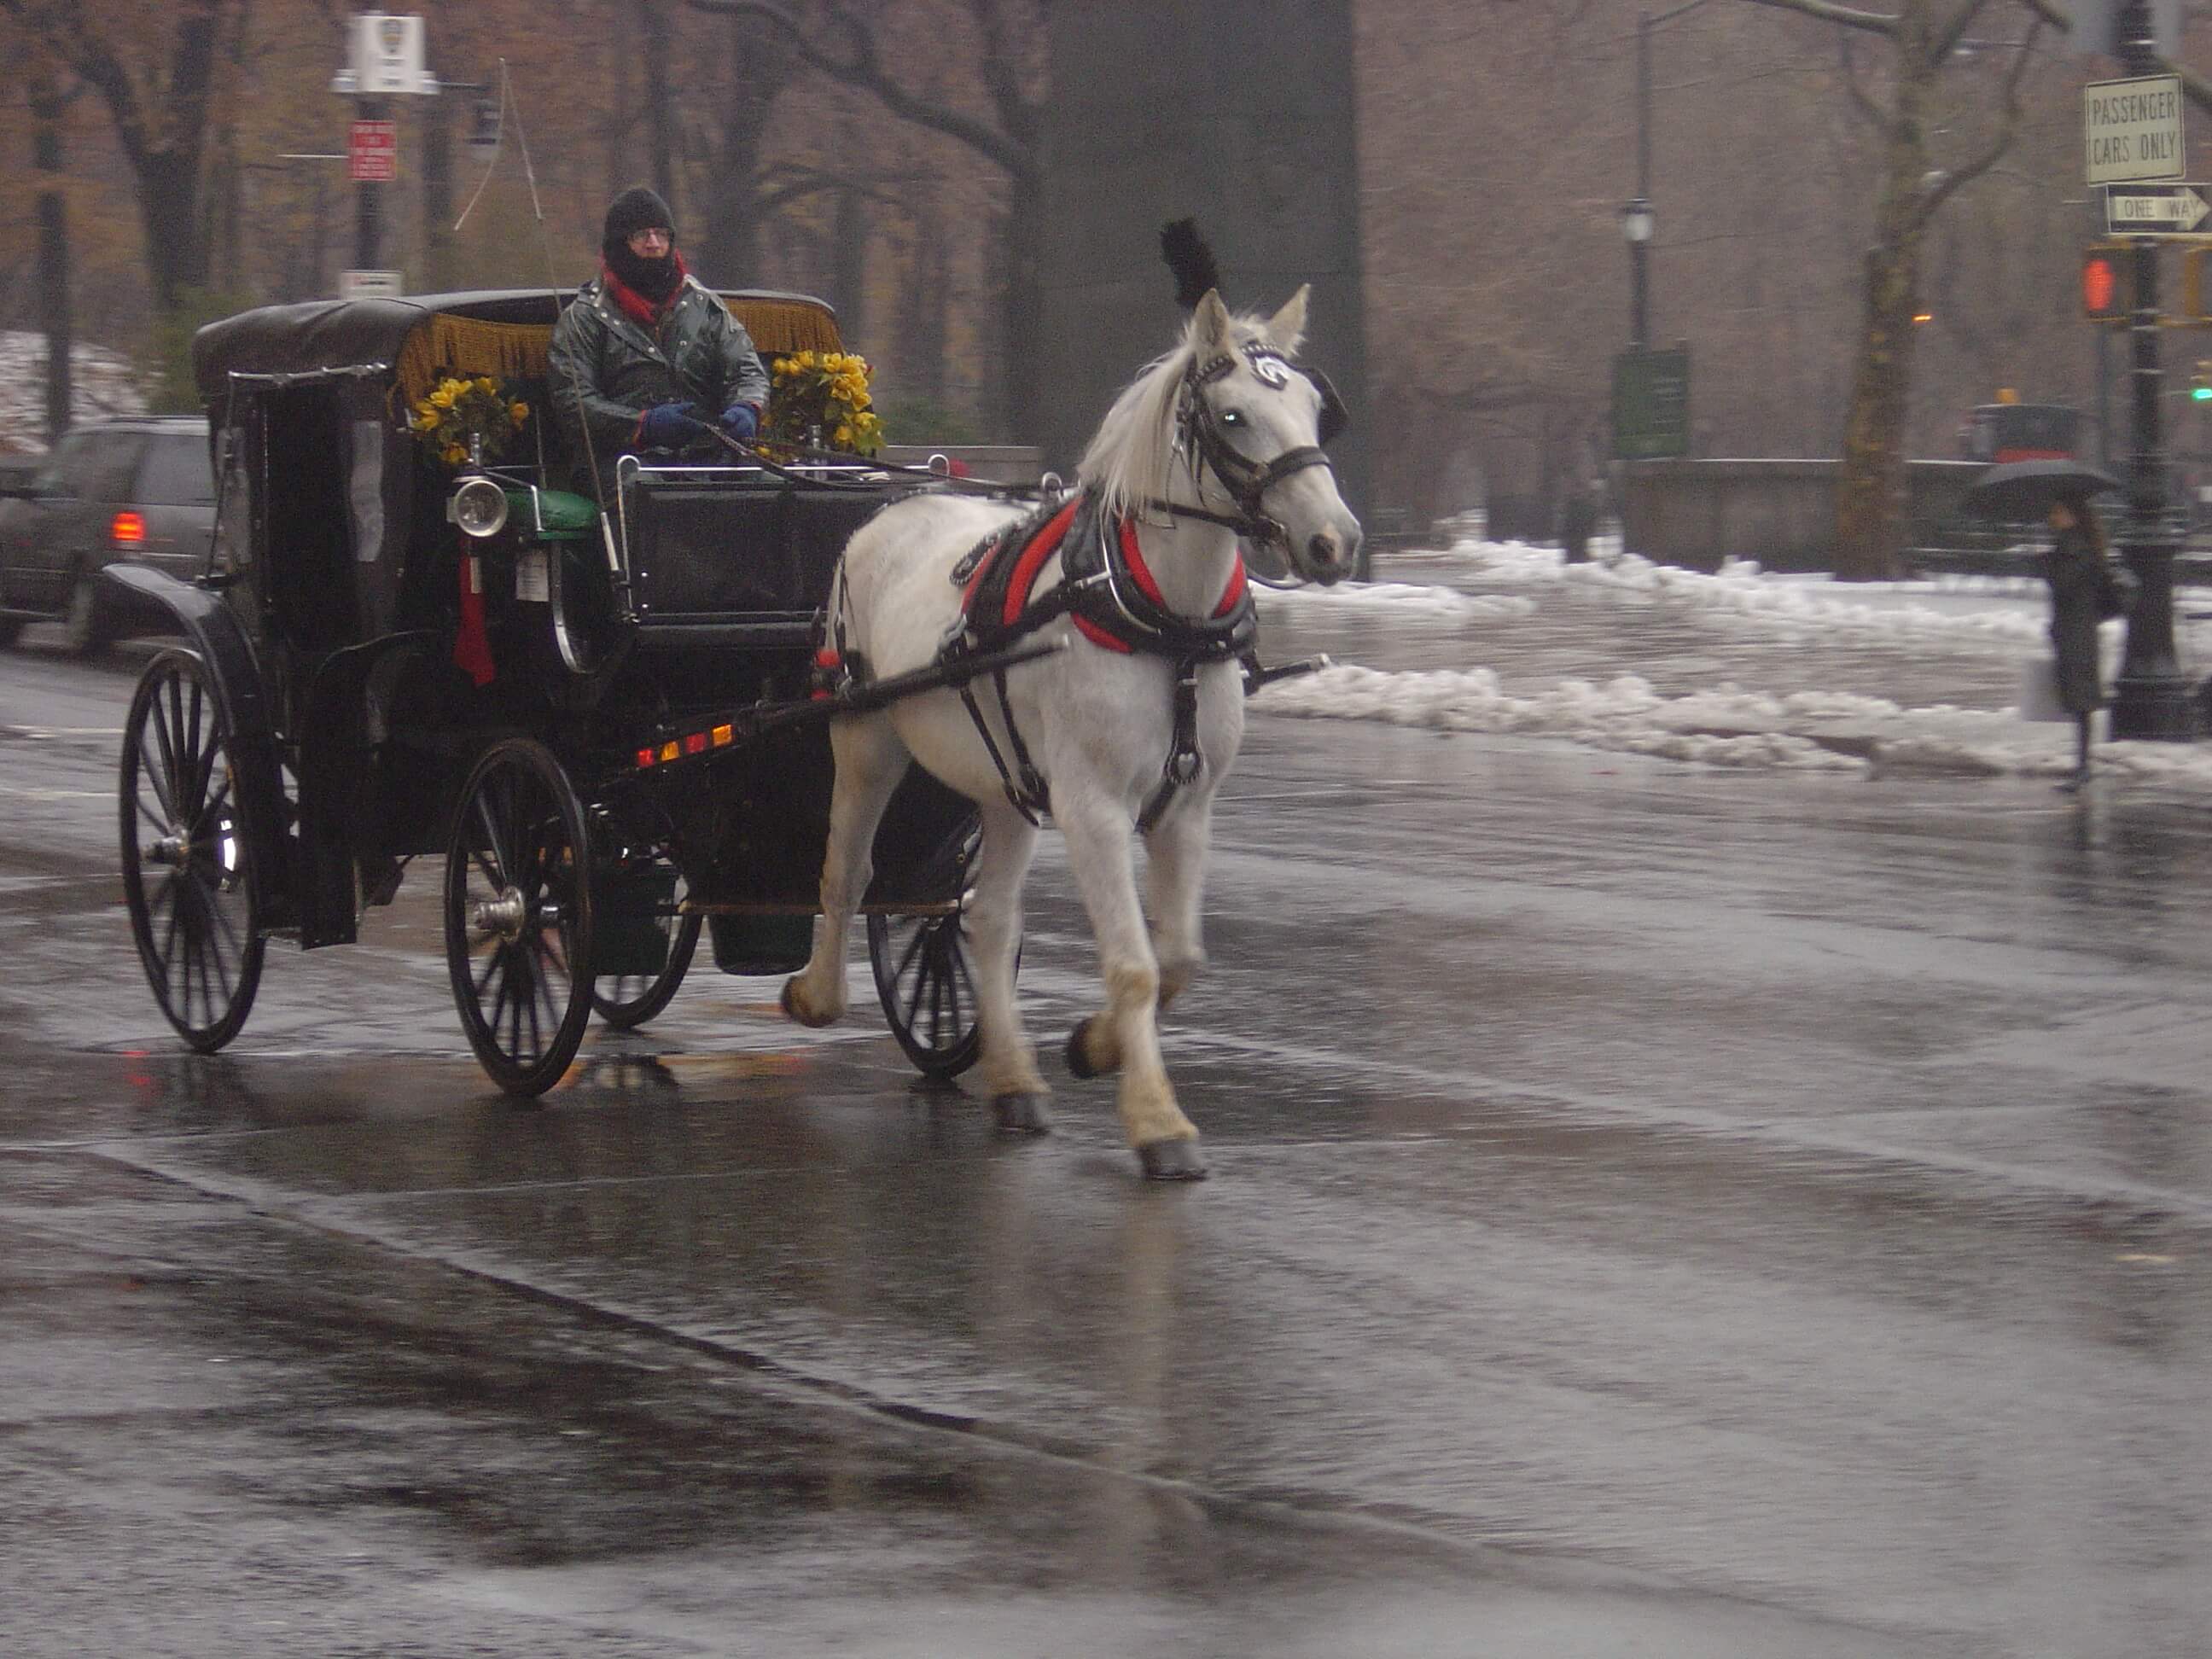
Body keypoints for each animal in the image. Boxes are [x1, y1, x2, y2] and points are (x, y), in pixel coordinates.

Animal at [787, 289, 1353, 1185]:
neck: (1166, 621)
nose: (1335, 540)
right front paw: (1158, 1121)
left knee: (986, 920)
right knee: (848, 871)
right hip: (866, 737)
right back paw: (817, 995)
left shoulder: (1188, 806)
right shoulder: (1093, 807)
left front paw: (1095, 1047)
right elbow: (1134, 964)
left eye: (1311, 408)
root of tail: (894, 506)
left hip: (1005, 785)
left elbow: (1177, 959)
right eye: (1232, 416)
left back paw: (1013, 1077)